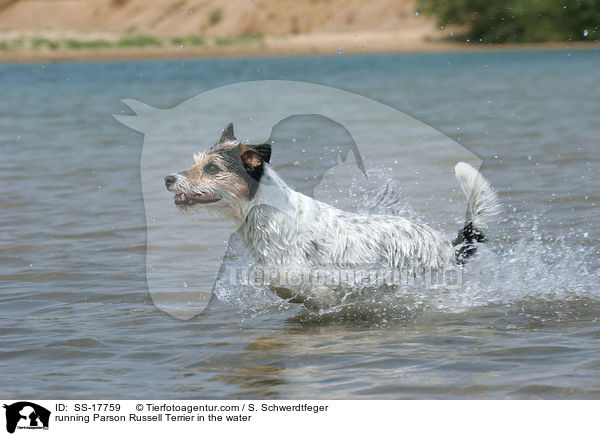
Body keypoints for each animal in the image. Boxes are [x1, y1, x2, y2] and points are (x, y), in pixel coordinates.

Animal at [164, 122, 496, 304]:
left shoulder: (297, 268)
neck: (264, 212)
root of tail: (447, 246)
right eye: (197, 162)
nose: (168, 178)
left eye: (212, 168)